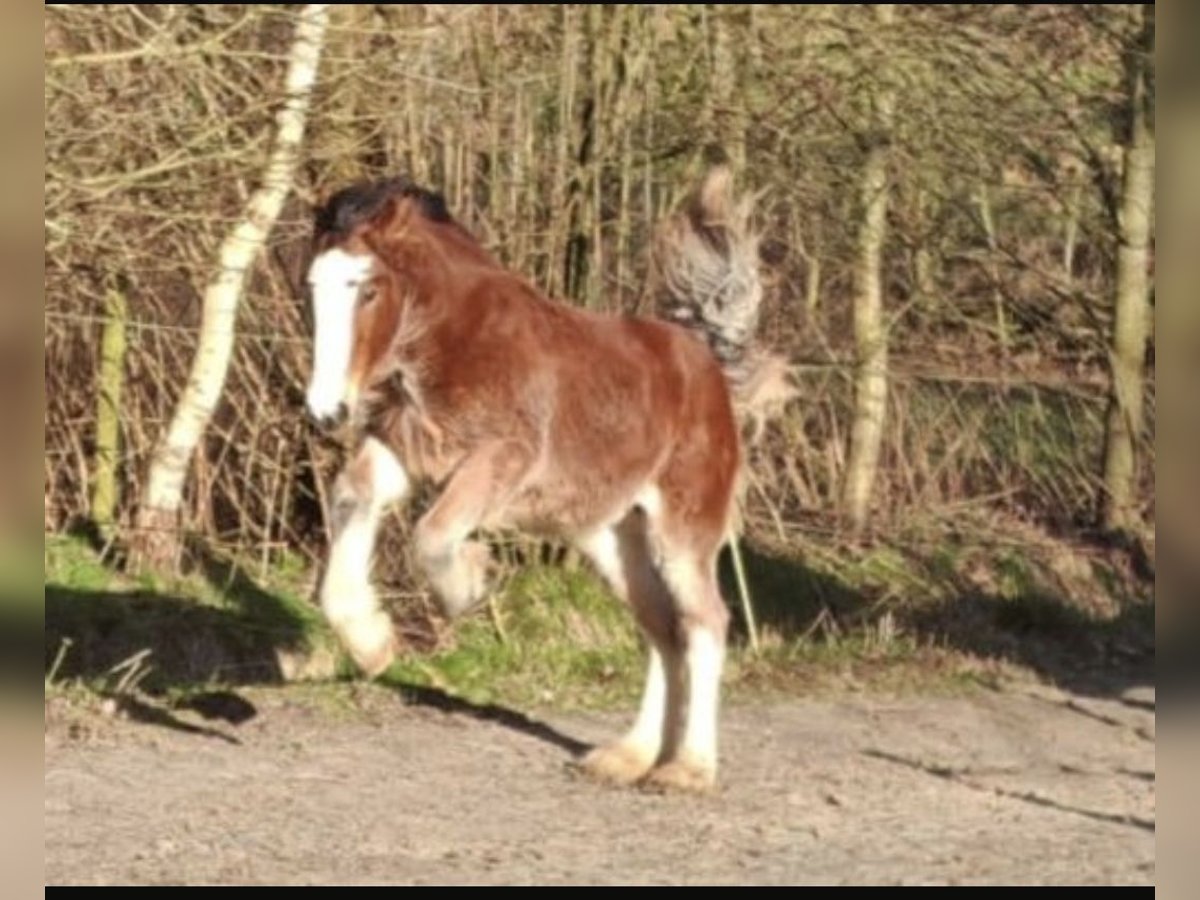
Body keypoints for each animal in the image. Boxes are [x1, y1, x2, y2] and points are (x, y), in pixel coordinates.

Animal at [304, 165, 782, 792]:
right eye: (311, 287)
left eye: (367, 290)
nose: (326, 411)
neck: (455, 341)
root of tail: (709, 366)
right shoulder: (403, 448)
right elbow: (354, 497)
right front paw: (372, 643)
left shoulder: (506, 457)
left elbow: (432, 535)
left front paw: (472, 582)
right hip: (612, 536)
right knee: (661, 627)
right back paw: (628, 757)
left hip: (682, 530)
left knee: (704, 622)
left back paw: (688, 769)